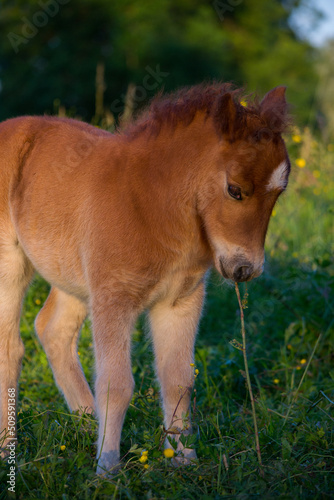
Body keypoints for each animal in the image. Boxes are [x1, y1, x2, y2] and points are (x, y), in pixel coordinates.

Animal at [0, 82, 290, 472]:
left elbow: (179, 380)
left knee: (52, 330)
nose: (246, 269)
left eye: (279, 192)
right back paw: (8, 448)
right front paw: (108, 467)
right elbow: (117, 383)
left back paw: (85, 424)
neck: (151, 204)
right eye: (234, 189)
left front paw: (183, 458)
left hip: (74, 276)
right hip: (11, 264)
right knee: (11, 347)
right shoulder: (114, 298)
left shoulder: (180, 301)